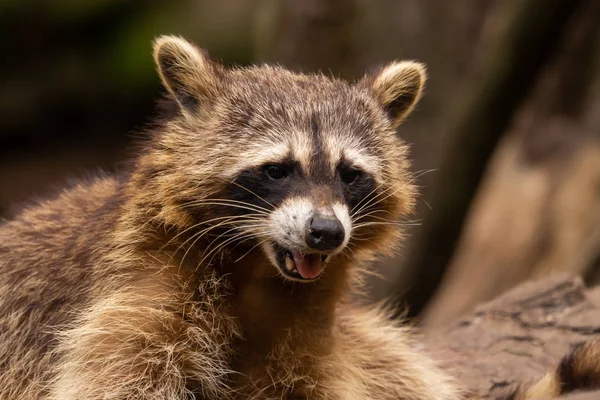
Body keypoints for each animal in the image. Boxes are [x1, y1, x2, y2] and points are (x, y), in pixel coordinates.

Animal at [0, 35, 596, 400]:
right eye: (276, 170)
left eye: (350, 174)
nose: (326, 233)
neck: (256, 269)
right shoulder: (129, 302)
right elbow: (117, 377)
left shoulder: (307, 333)